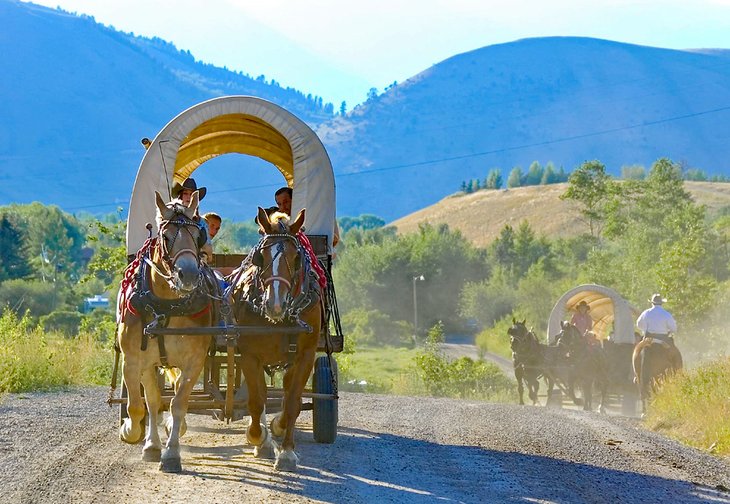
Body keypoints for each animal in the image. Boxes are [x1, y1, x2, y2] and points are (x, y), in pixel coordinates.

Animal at [116, 190, 213, 472]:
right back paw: (151, 444)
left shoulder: (194, 361)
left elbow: (179, 403)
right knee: (152, 399)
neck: (166, 305)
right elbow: (139, 405)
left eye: (198, 235)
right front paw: (132, 432)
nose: (188, 275)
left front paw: (171, 453)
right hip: (150, 364)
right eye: (166, 236)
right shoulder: (133, 360)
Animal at [226, 207, 320, 470]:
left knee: (287, 394)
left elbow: (293, 403)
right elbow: (257, 401)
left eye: (296, 257)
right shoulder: (249, 355)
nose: (274, 305)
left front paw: (287, 451)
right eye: (260, 257)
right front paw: (259, 438)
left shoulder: (306, 356)